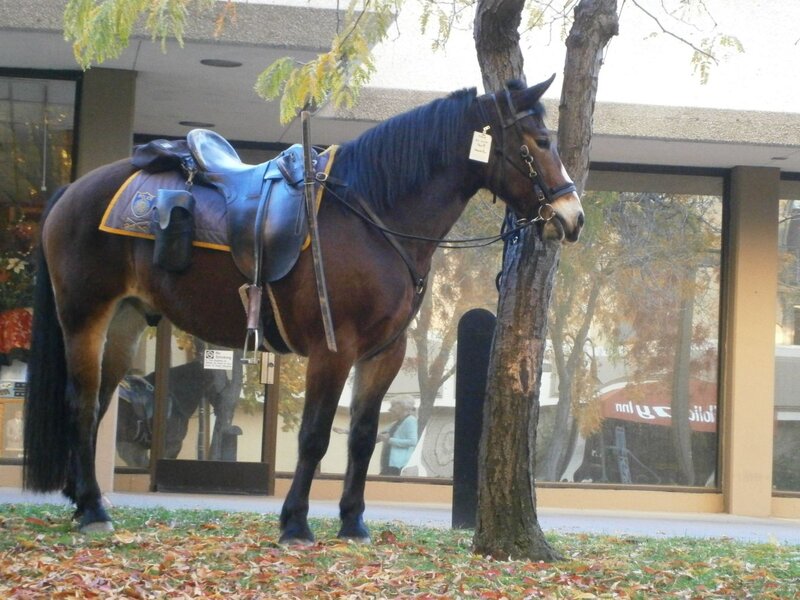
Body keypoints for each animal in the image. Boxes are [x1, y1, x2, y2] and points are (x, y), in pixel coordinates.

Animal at [23, 75, 583, 542]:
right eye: (540, 141)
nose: (572, 215)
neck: (372, 216)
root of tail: (73, 190)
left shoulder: (385, 351)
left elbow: (361, 437)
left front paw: (353, 521)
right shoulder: (333, 349)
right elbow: (314, 436)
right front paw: (294, 522)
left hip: (126, 321)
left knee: (98, 406)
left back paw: (82, 501)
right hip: (84, 317)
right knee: (80, 402)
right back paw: (94, 510)